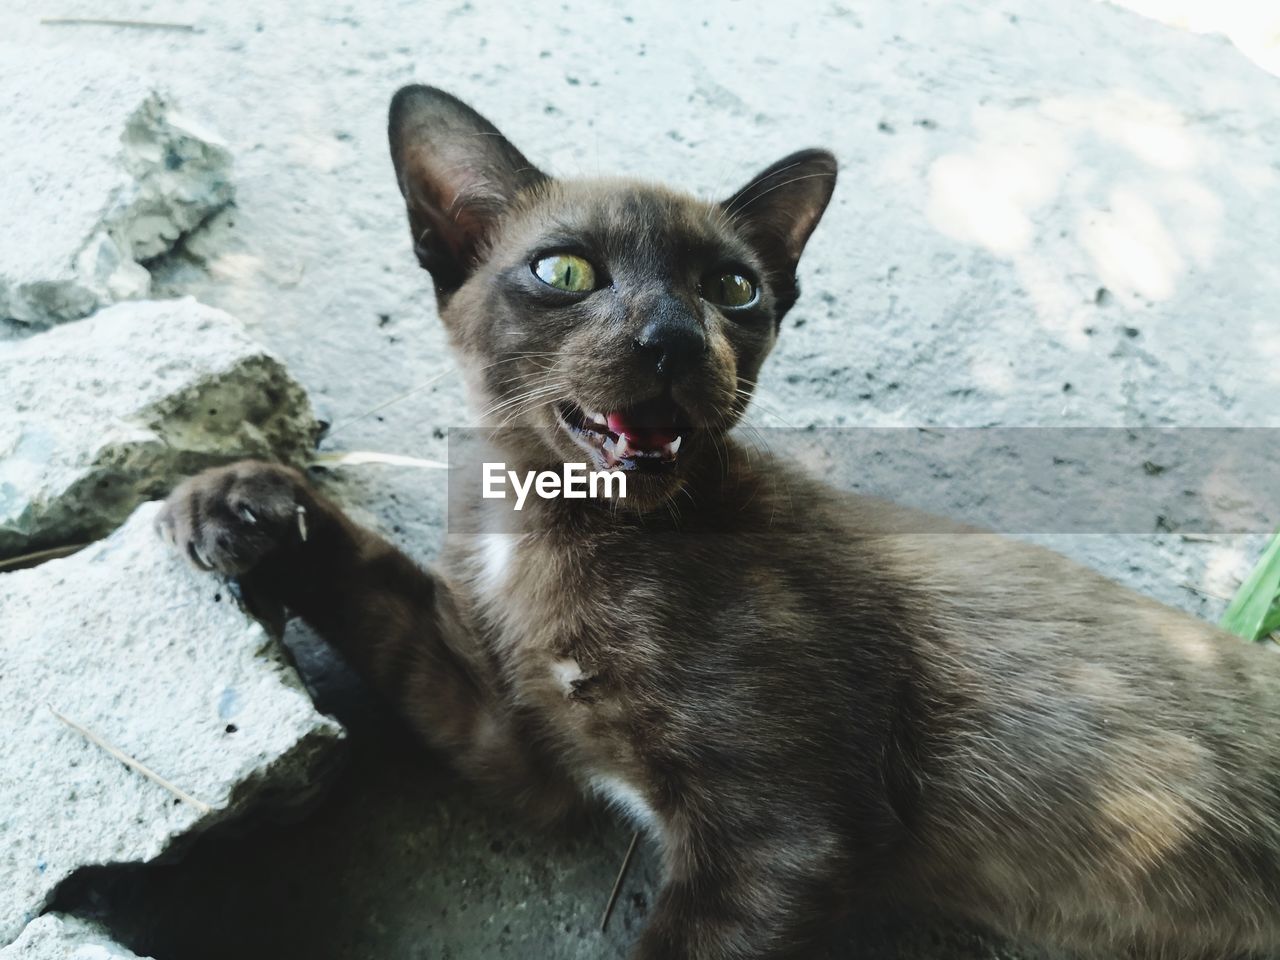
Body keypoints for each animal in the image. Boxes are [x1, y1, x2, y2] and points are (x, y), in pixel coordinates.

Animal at [157, 86, 1280, 957]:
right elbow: (377, 587)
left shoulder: (783, 836)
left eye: (732, 288)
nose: (670, 338)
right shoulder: (518, 745)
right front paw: (242, 503)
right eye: (564, 270)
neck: (542, 530)